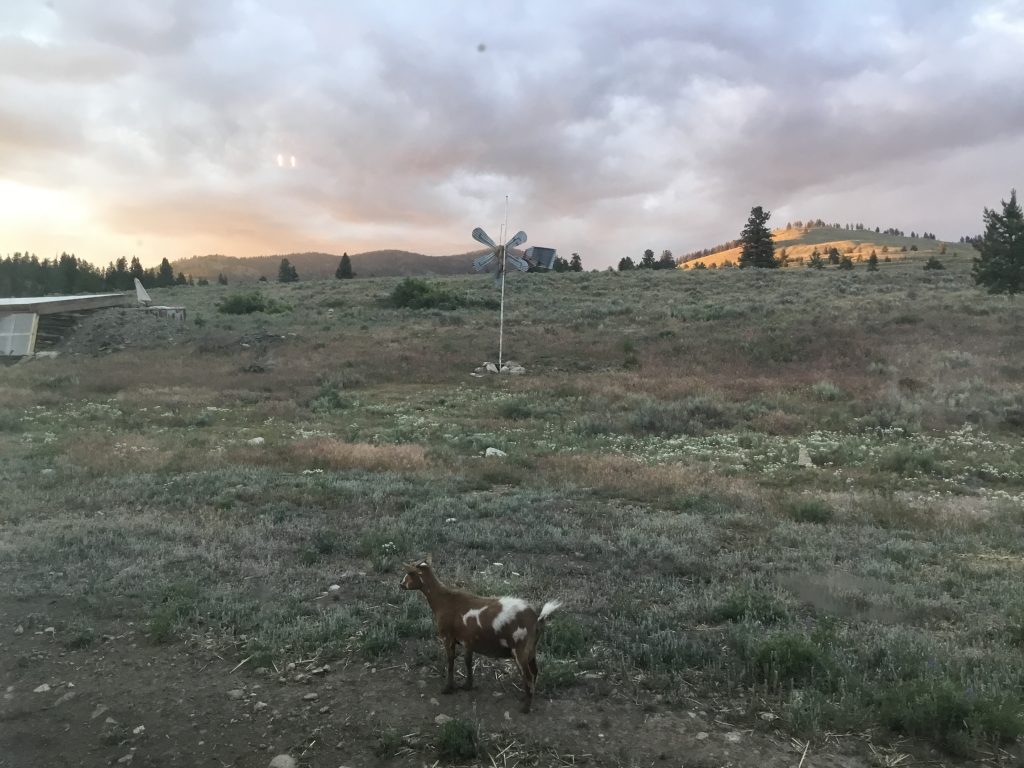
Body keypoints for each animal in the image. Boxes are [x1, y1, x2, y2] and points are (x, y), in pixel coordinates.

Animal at [397, 561, 561, 716]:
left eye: (410, 573)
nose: (401, 584)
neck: (444, 600)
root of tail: (537, 618)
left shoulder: (447, 637)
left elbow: (450, 662)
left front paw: (448, 688)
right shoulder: (468, 641)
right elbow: (468, 662)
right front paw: (467, 685)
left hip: (520, 650)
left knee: (528, 676)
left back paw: (525, 708)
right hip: (531, 649)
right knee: (535, 672)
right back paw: (526, 697)